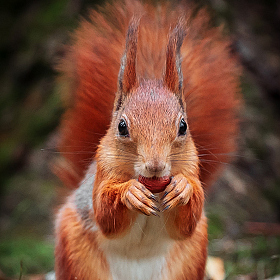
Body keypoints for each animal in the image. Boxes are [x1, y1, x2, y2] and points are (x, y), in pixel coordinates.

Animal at [53, 0, 241, 280]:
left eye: (183, 126)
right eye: (121, 126)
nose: (155, 166)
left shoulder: (192, 167)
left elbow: (187, 222)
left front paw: (183, 188)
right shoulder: (103, 168)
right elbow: (105, 214)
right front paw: (129, 193)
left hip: (190, 256)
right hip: (77, 253)